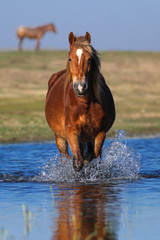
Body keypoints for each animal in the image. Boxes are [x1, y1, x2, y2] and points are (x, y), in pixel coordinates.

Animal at [45, 31, 115, 172]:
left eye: (89, 59)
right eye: (70, 58)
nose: (80, 87)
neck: (84, 105)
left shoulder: (100, 133)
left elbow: (94, 160)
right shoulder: (71, 132)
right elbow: (78, 163)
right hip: (60, 138)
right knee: (65, 157)